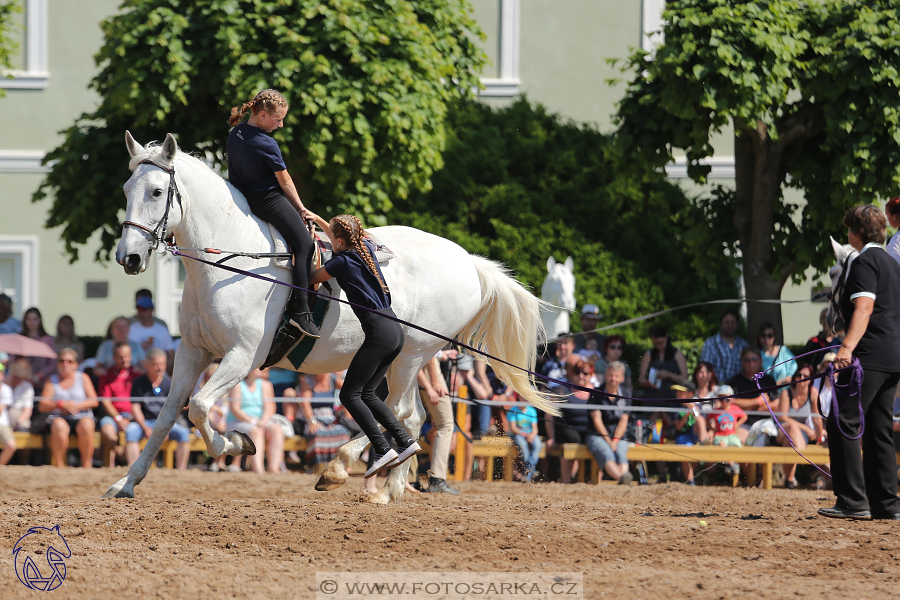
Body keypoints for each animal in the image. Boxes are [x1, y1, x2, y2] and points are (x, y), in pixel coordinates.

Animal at [105, 134, 556, 504]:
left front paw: (236, 443)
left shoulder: (242, 357)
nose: (129, 257)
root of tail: (467, 262)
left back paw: (343, 467)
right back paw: (387, 487)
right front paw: (126, 483)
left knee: (398, 410)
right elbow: (168, 416)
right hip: (403, 361)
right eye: (125, 190)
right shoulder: (192, 353)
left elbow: (198, 408)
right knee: (411, 414)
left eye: (157, 191)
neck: (230, 261)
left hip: (411, 356)